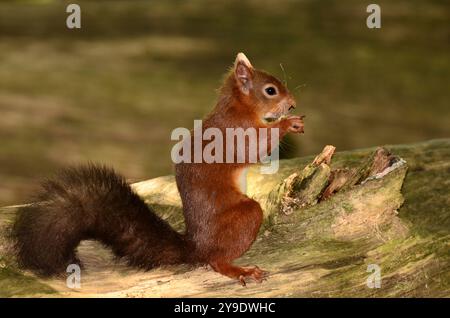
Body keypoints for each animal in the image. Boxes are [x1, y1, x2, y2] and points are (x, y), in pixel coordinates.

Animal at [12, 52, 304, 286]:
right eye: (270, 90)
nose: (293, 103)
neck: (237, 106)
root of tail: (197, 246)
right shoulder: (238, 132)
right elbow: (255, 147)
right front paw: (288, 123)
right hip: (245, 216)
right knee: (215, 260)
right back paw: (238, 270)